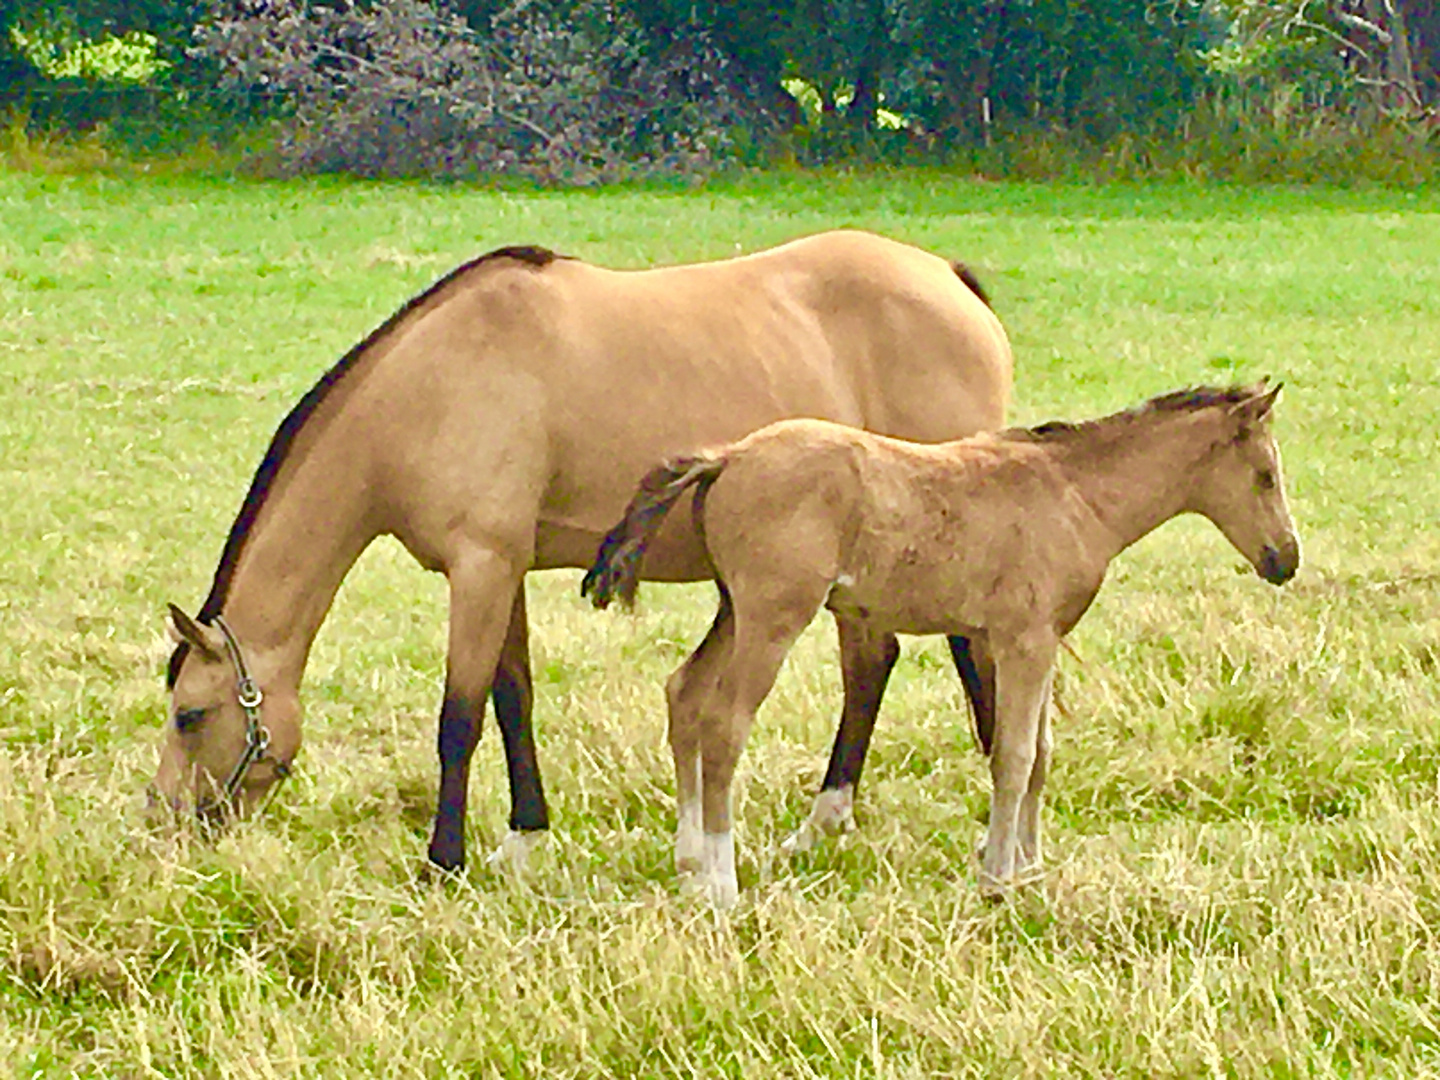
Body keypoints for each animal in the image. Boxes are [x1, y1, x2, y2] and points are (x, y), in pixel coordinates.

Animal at [151, 226, 1013, 869]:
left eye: (190, 715)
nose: (165, 822)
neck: (429, 389)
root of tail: (948, 277)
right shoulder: (503, 569)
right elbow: (513, 698)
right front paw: (524, 837)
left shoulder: (480, 567)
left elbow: (459, 717)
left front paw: (443, 861)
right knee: (873, 665)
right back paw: (821, 825)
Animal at [584, 385, 1307, 910]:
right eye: (1265, 476)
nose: (1285, 559)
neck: (1074, 495)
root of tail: (727, 456)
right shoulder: (1025, 641)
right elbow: (1015, 756)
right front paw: (996, 879)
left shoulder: (1017, 642)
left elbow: (1039, 755)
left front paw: (1029, 871)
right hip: (773, 616)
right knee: (725, 722)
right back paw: (721, 882)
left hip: (735, 609)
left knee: (684, 695)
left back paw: (688, 867)